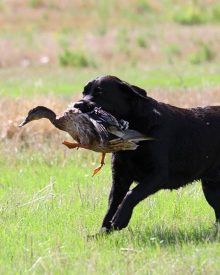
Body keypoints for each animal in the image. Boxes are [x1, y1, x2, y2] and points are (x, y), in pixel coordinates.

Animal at [74, 75, 220, 233]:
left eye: (100, 93)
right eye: (84, 92)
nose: (77, 105)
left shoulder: (158, 175)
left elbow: (131, 195)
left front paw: (120, 220)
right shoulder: (120, 179)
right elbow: (111, 205)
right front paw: (103, 232)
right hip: (210, 187)